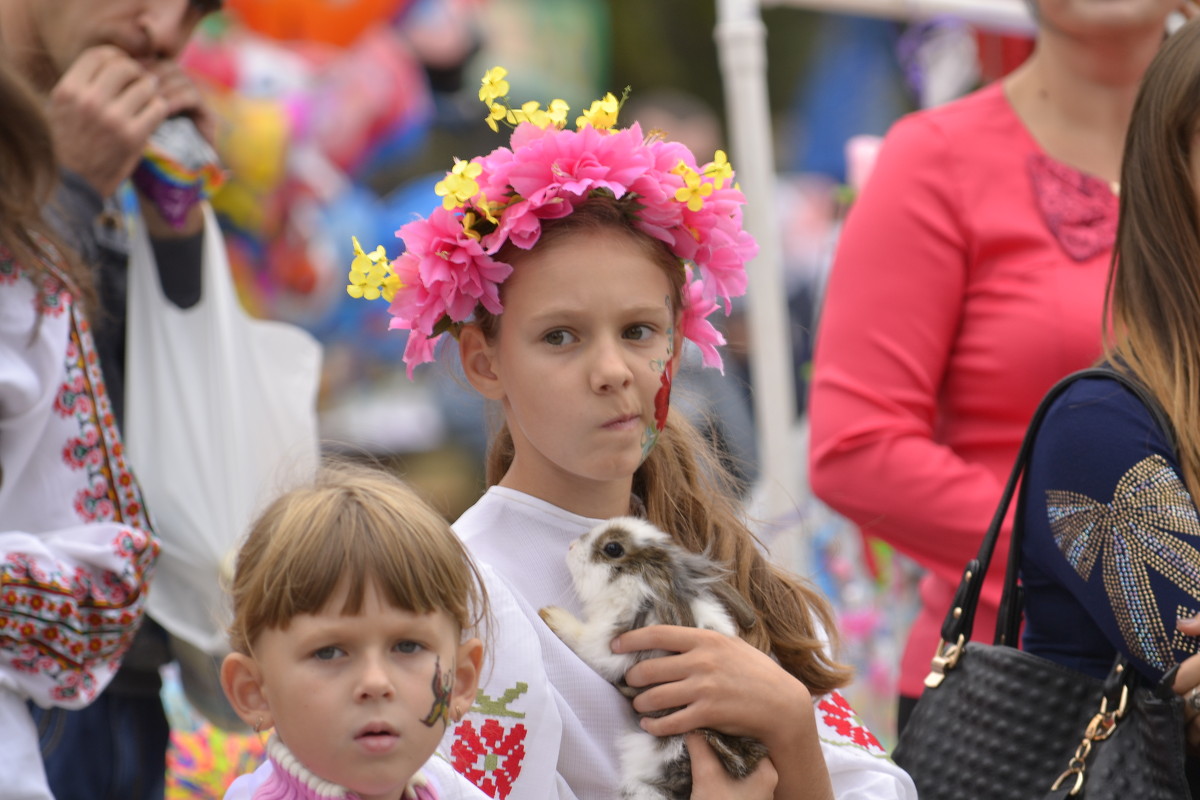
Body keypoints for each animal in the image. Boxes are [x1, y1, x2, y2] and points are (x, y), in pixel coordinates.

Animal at [537, 515, 763, 796]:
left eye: (613, 548)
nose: (570, 546)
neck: (639, 581)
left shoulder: (609, 642)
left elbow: (583, 640)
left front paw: (551, 615)